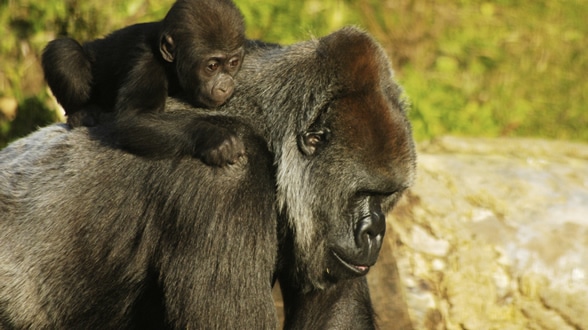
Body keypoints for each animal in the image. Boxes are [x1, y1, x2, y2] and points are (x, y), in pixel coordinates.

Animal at [43, 0, 246, 166]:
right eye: (212, 66)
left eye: (233, 63)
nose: (225, 85)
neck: (170, 62)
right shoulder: (147, 62)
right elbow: (135, 119)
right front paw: (214, 137)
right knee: (64, 51)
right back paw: (81, 112)